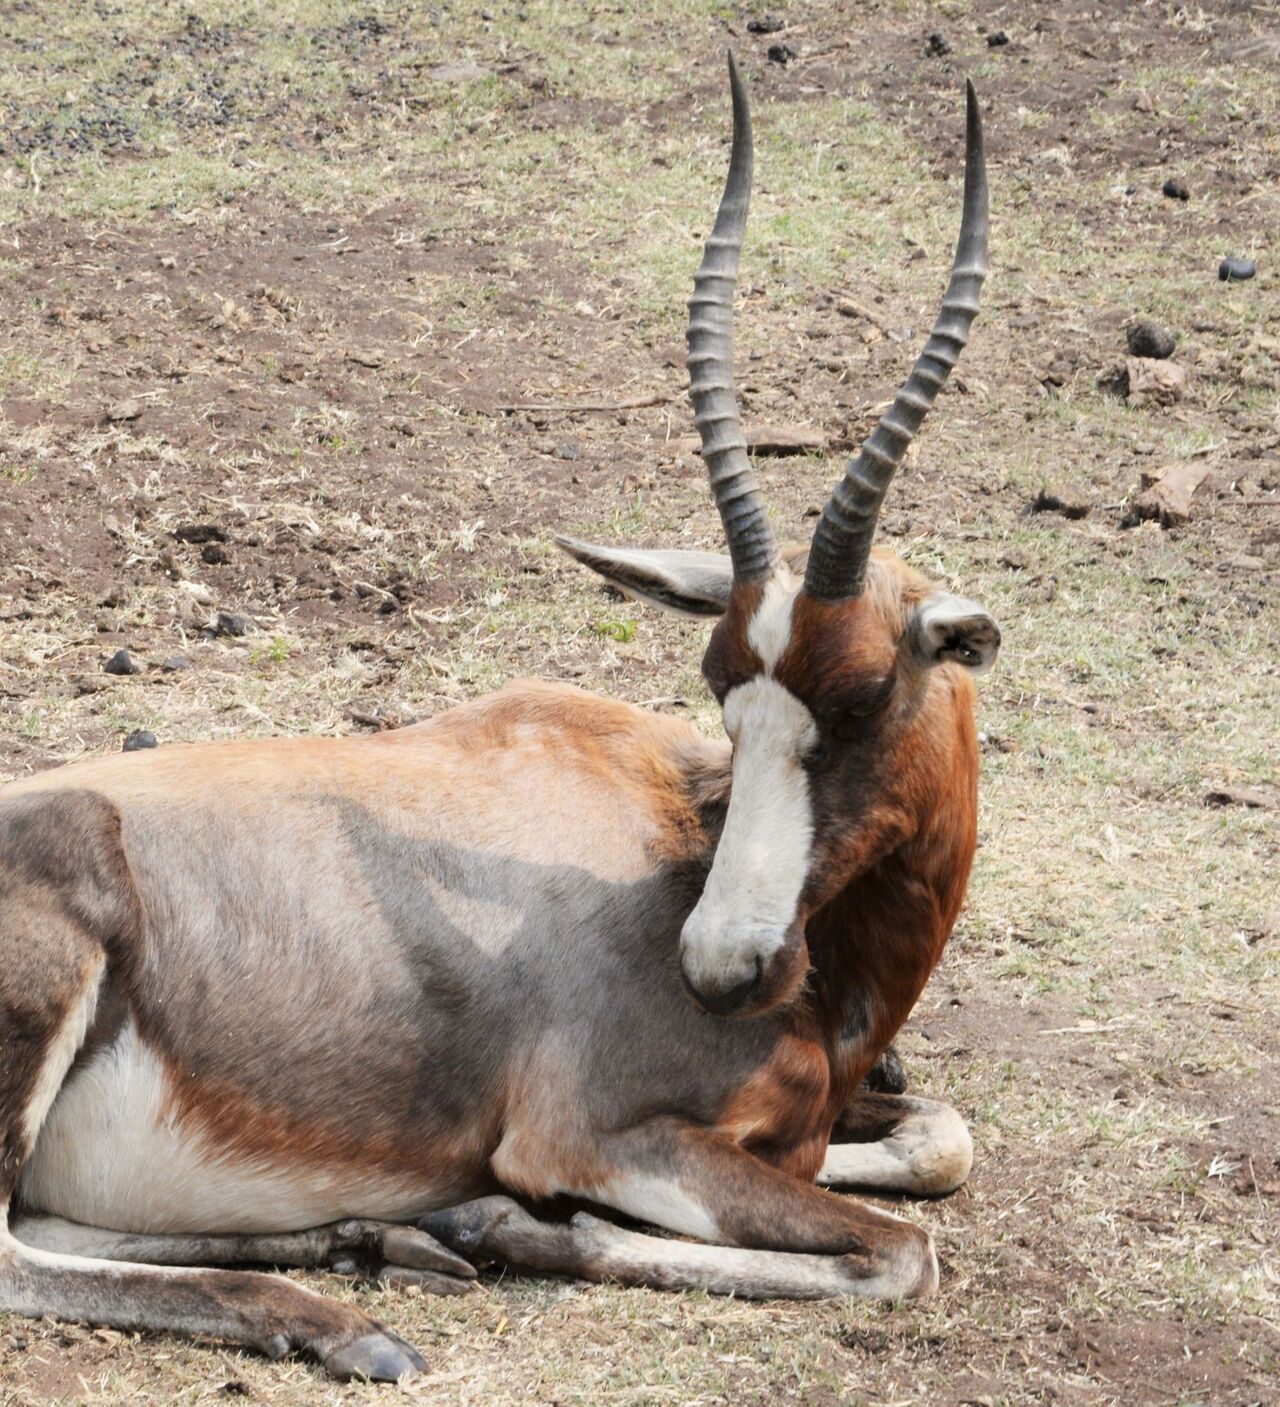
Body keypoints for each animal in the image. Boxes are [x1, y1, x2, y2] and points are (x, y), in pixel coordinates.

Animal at [0, 57, 1001, 1384]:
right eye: (721, 687)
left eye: (862, 694)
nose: (718, 968)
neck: (674, 829)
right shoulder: (587, 1138)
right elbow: (898, 1253)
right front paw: (509, 1225)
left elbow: (940, 1141)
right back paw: (355, 1318)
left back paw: (370, 1241)